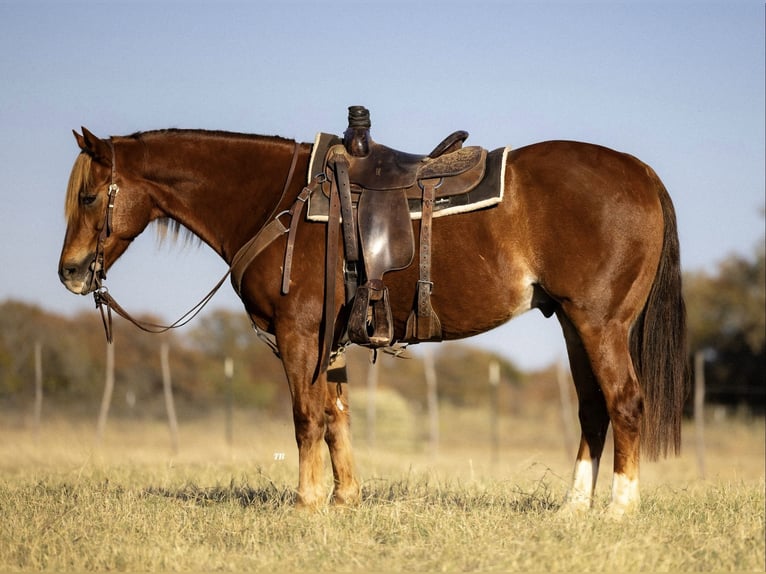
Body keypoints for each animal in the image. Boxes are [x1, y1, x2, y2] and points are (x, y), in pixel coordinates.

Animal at [57, 125, 688, 516]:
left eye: (88, 197)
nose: (69, 272)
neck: (279, 202)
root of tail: (641, 172)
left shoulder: (299, 332)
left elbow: (306, 418)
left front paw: (307, 503)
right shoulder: (330, 342)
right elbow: (338, 416)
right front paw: (344, 499)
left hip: (601, 324)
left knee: (625, 403)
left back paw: (620, 509)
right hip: (574, 326)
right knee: (593, 409)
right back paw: (573, 508)